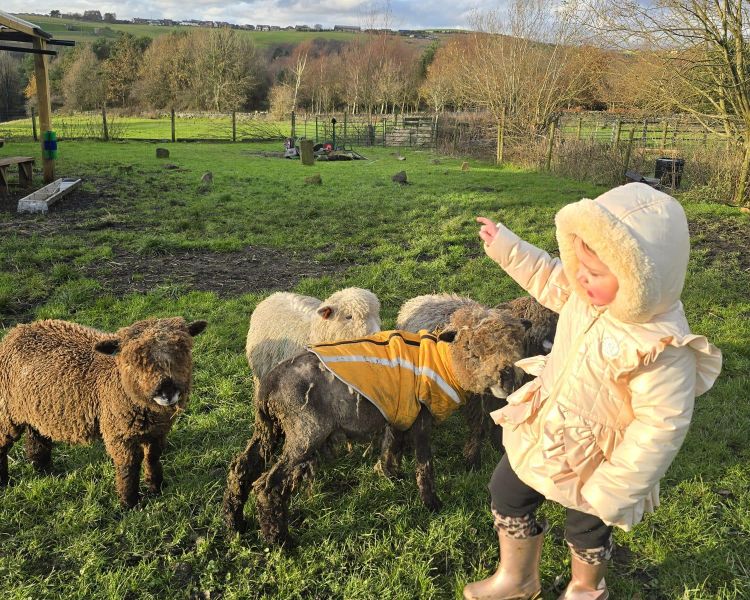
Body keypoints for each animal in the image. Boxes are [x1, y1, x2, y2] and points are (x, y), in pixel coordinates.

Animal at [0, 317, 207, 508]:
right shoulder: (118, 434)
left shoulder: (158, 432)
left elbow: (153, 458)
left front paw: (156, 488)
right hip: (7, 410)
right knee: (3, 443)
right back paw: (4, 482)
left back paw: (43, 469)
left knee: (37, 436)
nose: (167, 390)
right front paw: (129, 503)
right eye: (133, 360)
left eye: (183, 349)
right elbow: (129, 466)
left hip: (39, 408)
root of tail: (17, 331)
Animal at [223, 305, 530, 546]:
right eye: (470, 349)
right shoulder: (421, 417)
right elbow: (424, 463)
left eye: (514, 345)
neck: (443, 363)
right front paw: (432, 504)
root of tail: (269, 384)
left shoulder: (399, 412)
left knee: (241, 467)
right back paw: (280, 541)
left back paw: (235, 523)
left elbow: (392, 445)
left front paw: (391, 474)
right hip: (305, 432)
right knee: (267, 485)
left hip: (270, 427)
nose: (506, 379)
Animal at [394, 293, 558, 470]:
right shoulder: (476, 403)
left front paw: (499, 446)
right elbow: (478, 429)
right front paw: (472, 460)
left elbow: (497, 425)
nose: (506, 380)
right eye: (473, 352)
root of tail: (420, 299)